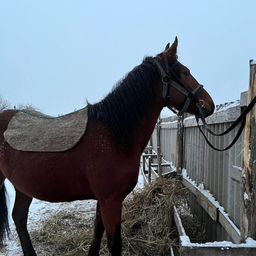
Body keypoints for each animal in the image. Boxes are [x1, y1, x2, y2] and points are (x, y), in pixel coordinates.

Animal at [0, 37, 214, 255]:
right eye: (185, 72)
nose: (209, 104)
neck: (114, 134)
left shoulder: (102, 200)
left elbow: (97, 232)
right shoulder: (111, 200)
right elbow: (114, 243)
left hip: (23, 187)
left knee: (19, 218)